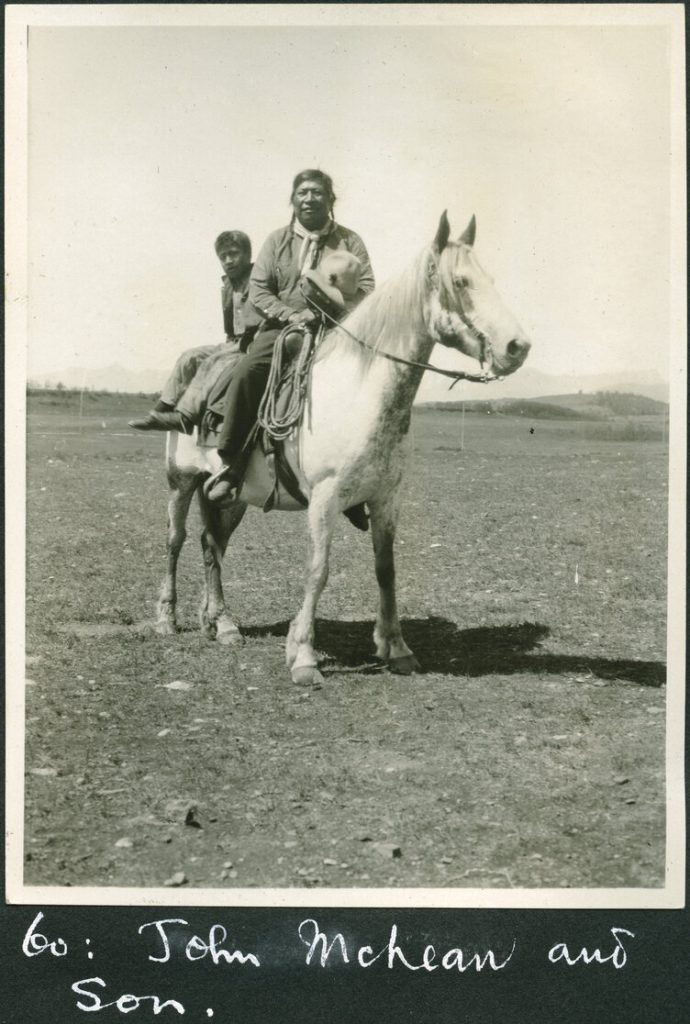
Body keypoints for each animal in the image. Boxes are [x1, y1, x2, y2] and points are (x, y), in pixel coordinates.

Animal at [156, 212, 532, 685]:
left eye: (490, 279)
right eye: (462, 281)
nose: (518, 347)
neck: (358, 393)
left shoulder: (387, 497)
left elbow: (386, 569)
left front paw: (396, 648)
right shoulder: (324, 497)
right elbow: (318, 570)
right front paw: (303, 655)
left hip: (229, 493)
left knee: (211, 544)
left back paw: (220, 624)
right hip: (182, 480)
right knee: (176, 540)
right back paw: (167, 619)